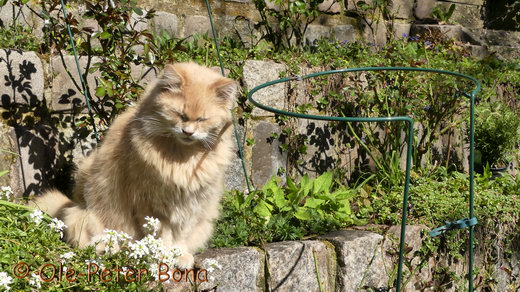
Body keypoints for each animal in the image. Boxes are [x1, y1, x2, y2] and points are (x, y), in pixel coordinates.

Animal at [30, 62, 238, 270]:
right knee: (95, 241)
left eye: (202, 120)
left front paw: (179, 255)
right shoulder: (152, 205)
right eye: (180, 115)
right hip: (85, 211)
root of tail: (73, 202)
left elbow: (180, 236)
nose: (188, 132)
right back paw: (109, 249)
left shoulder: (191, 205)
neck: (181, 158)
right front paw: (162, 257)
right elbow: (161, 237)